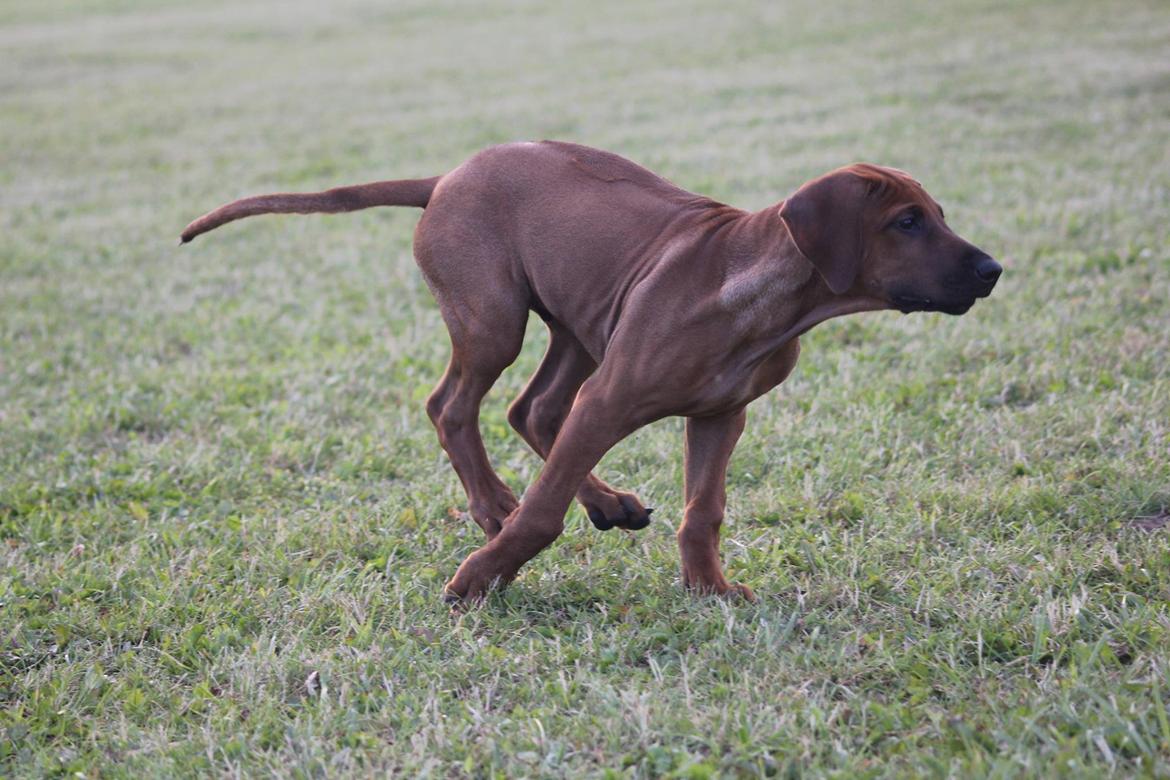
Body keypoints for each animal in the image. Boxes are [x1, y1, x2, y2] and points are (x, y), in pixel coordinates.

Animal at [177, 140, 1001, 603]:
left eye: (937, 214)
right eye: (905, 223)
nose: (993, 270)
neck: (761, 295)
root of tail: (447, 175)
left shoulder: (719, 414)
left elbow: (704, 511)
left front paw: (710, 589)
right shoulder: (609, 399)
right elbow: (543, 510)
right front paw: (480, 579)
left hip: (578, 325)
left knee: (534, 410)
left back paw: (606, 505)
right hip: (495, 318)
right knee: (453, 407)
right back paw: (493, 509)